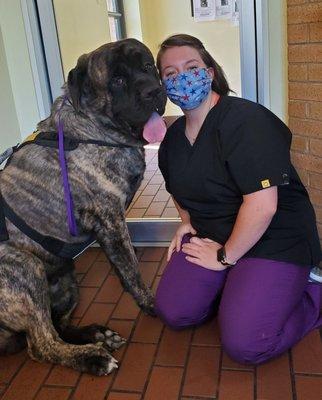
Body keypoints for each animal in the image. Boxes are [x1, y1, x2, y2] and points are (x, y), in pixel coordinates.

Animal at [0, 37, 167, 376]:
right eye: (117, 80)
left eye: (147, 66)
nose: (154, 92)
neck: (93, 129)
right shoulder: (111, 219)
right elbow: (131, 269)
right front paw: (152, 304)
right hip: (24, 268)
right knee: (41, 344)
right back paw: (93, 358)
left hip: (65, 278)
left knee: (55, 326)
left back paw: (97, 335)